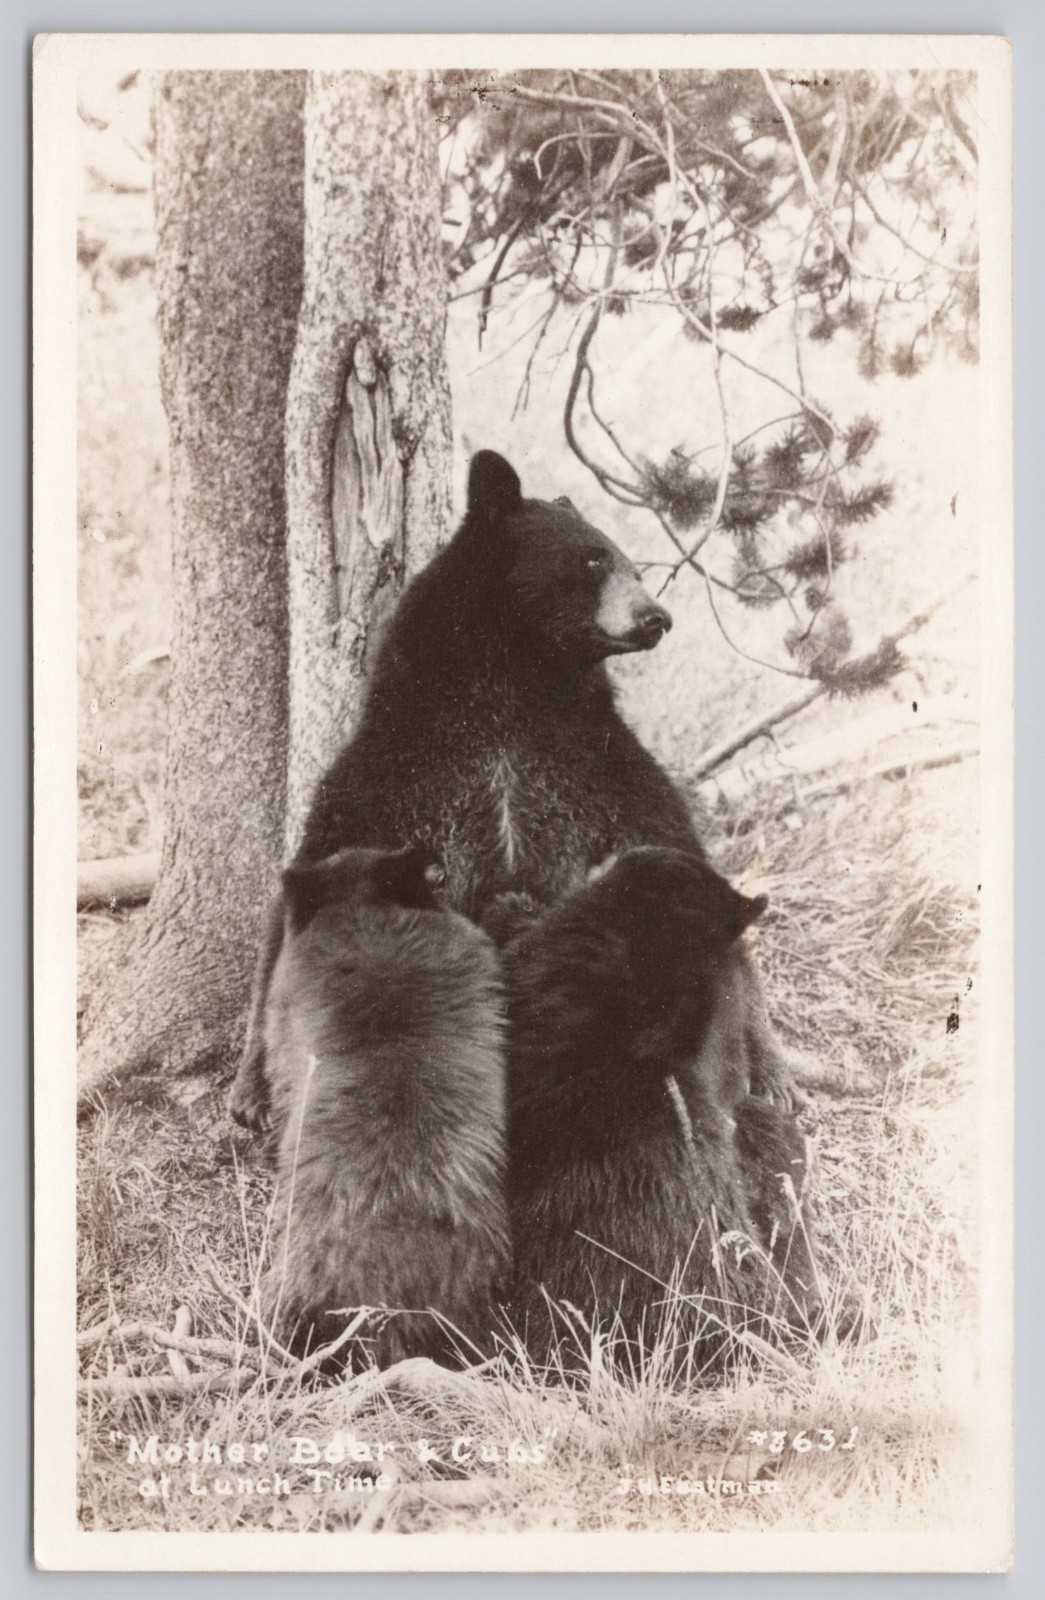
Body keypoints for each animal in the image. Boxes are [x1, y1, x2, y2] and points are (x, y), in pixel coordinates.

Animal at [230, 448, 796, 1131]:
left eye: (631, 564)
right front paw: (252, 1086)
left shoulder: (600, 764)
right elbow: (316, 870)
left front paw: (771, 1062)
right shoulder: (393, 765)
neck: (513, 683)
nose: (657, 617)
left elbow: (682, 864)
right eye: (592, 559)